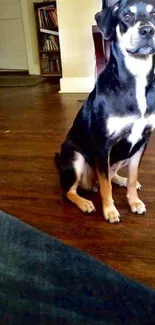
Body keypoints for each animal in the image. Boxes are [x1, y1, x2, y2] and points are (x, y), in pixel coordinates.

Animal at [55, 0, 155, 223]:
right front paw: (110, 211)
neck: (136, 76)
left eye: (154, 14)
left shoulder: (141, 141)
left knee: (110, 175)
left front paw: (134, 201)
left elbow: (133, 175)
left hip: (123, 154)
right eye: (126, 15)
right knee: (69, 191)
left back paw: (122, 180)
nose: (148, 30)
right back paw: (84, 202)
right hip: (75, 158)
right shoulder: (103, 144)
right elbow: (105, 186)